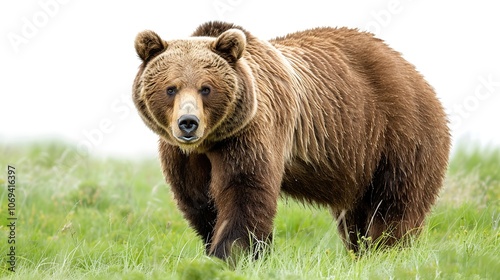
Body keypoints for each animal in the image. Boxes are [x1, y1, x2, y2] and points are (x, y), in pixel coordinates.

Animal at [131, 20, 452, 260]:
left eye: (206, 88)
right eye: (171, 88)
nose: (188, 123)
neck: (210, 142)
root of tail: (413, 71)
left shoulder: (252, 132)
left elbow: (244, 190)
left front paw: (232, 254)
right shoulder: (183, 155)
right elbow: (198, 200)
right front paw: (218, 247)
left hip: (398, 132)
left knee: (394, 203)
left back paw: (387, 249)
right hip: (359, 160)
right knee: (356, 215)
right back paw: (361, 250)